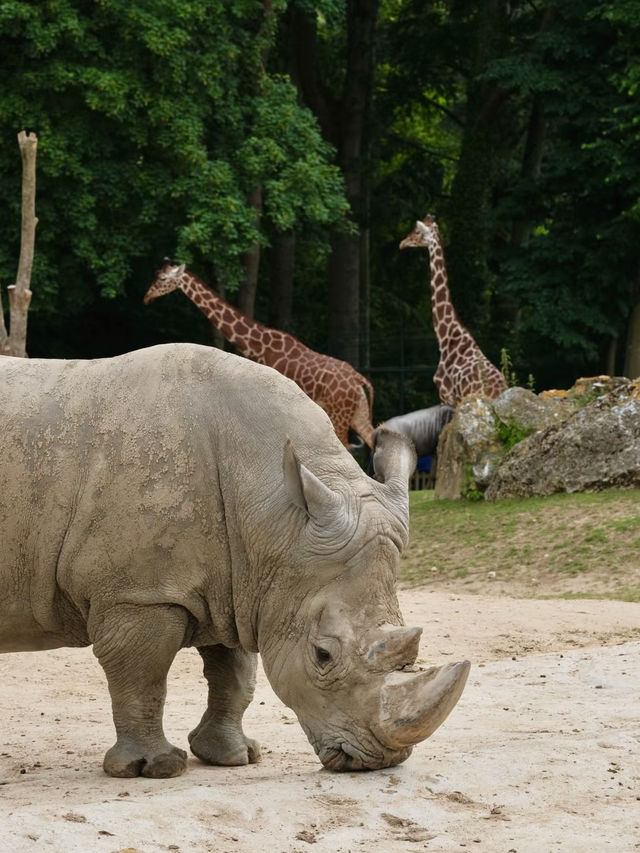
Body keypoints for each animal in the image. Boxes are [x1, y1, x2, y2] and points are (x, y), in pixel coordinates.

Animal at [144, 258, 376, 446]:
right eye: (156, 275)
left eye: (162, 278)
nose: (146, 297)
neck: (260, 345)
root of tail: (360, 379)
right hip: (357, 414)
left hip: (340, 414)